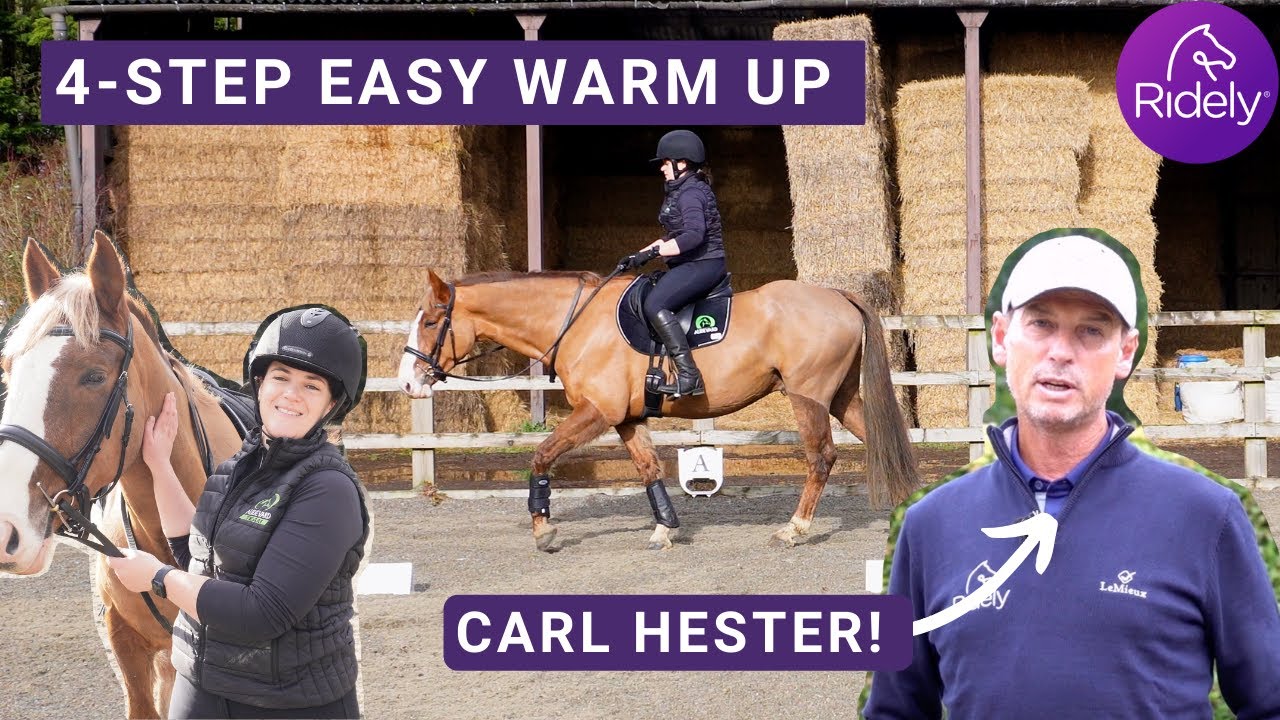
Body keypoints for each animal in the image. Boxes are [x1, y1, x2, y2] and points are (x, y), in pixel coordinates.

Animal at [399, 269, 919, 552]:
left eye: (431, 321)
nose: (407, 382)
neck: (578, 321)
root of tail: (836, 295)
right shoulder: (626, 419)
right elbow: (649, 469)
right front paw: (664, 529)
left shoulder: (597, 411)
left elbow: (543, 455)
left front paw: (543, 529)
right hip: (840, 397)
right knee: (880, 442)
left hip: (808, 396)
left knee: (821, 457)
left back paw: (794, 529)